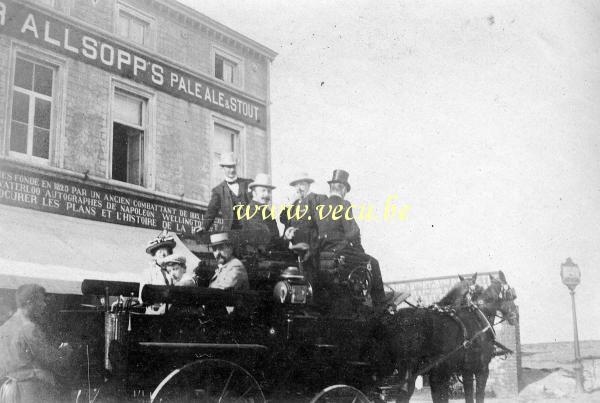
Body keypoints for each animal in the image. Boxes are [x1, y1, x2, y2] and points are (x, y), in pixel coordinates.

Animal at [364, 272, 516, 403]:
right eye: (511, 295)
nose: (515, 315)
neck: (478, 317)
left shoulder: (461, 371)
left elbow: (462, 396)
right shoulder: (481, 369)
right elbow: (478, 395)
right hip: (409, 367)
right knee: (403, 392)